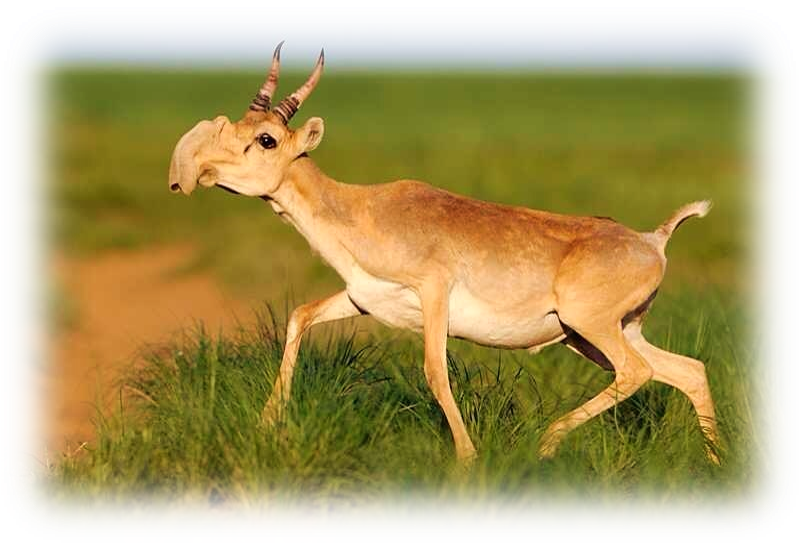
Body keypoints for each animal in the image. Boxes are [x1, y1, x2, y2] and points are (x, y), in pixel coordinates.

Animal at [168, 42, 720, 465]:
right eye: (238, 125)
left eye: (266, 139)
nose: (196, 170)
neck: (363, 209)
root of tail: (652, 240)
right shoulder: (362, 299)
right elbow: (299, 316)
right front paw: (267, 424)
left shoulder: (434, 294)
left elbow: (435, 372)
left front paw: (467, 461)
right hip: (598, 335)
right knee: (688, 370)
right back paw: (714, 467)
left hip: (590, 328)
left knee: (639, 372)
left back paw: (546, 443)